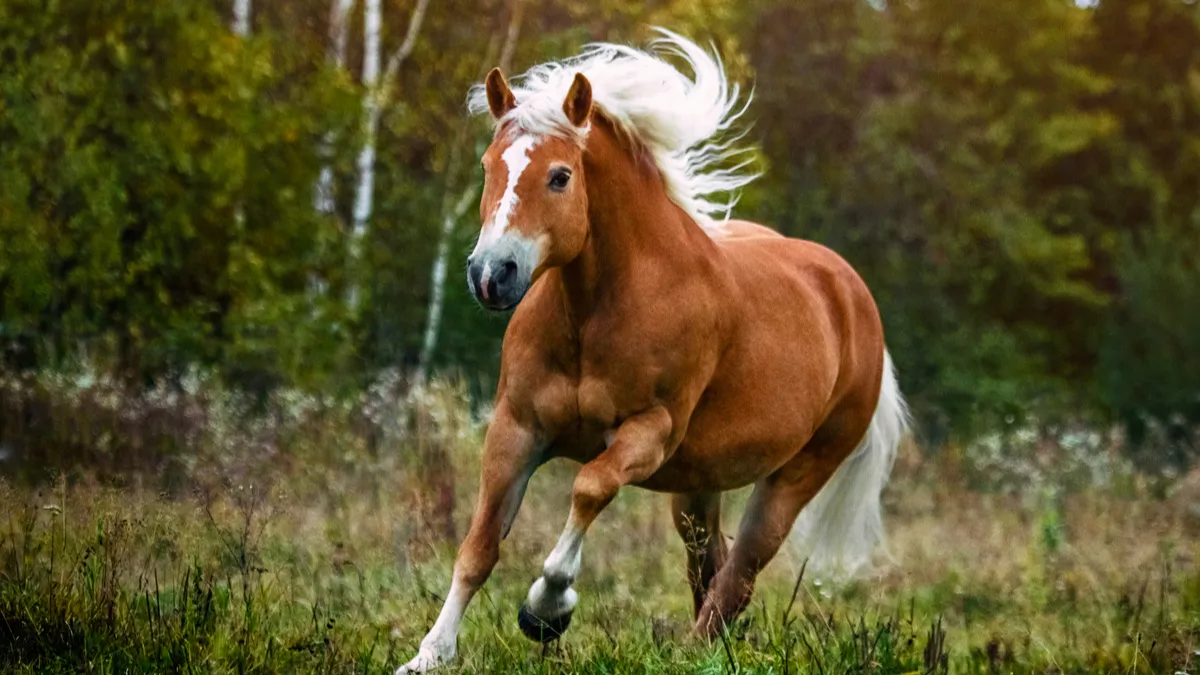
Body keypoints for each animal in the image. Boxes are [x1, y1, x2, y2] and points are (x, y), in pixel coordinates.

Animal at [393, 30, 907, 672]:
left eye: (560, 176)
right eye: (488, 166)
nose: (492, 275)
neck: (597, 311)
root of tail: (852, 296)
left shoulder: (649, 432)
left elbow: (588, 488)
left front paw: (546, 609)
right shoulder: (516, 428)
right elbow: (478, 545)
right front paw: (429, 654)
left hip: (796, 475)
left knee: (738, 576)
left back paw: (692, 653)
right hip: (697, 485)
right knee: (710, 566)